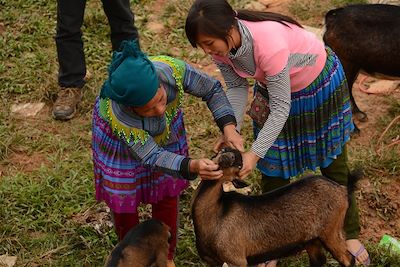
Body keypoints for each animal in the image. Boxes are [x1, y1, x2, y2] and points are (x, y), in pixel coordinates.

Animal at [192, 149, 358, 267]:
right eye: (222, 150)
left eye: (239, 166)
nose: (229, 157)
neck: (217, 214)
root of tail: (342, 189)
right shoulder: (213, 262)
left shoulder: (236, 259)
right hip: (312, 239)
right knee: (319, 261)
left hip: (331, 230)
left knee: (348, 259)